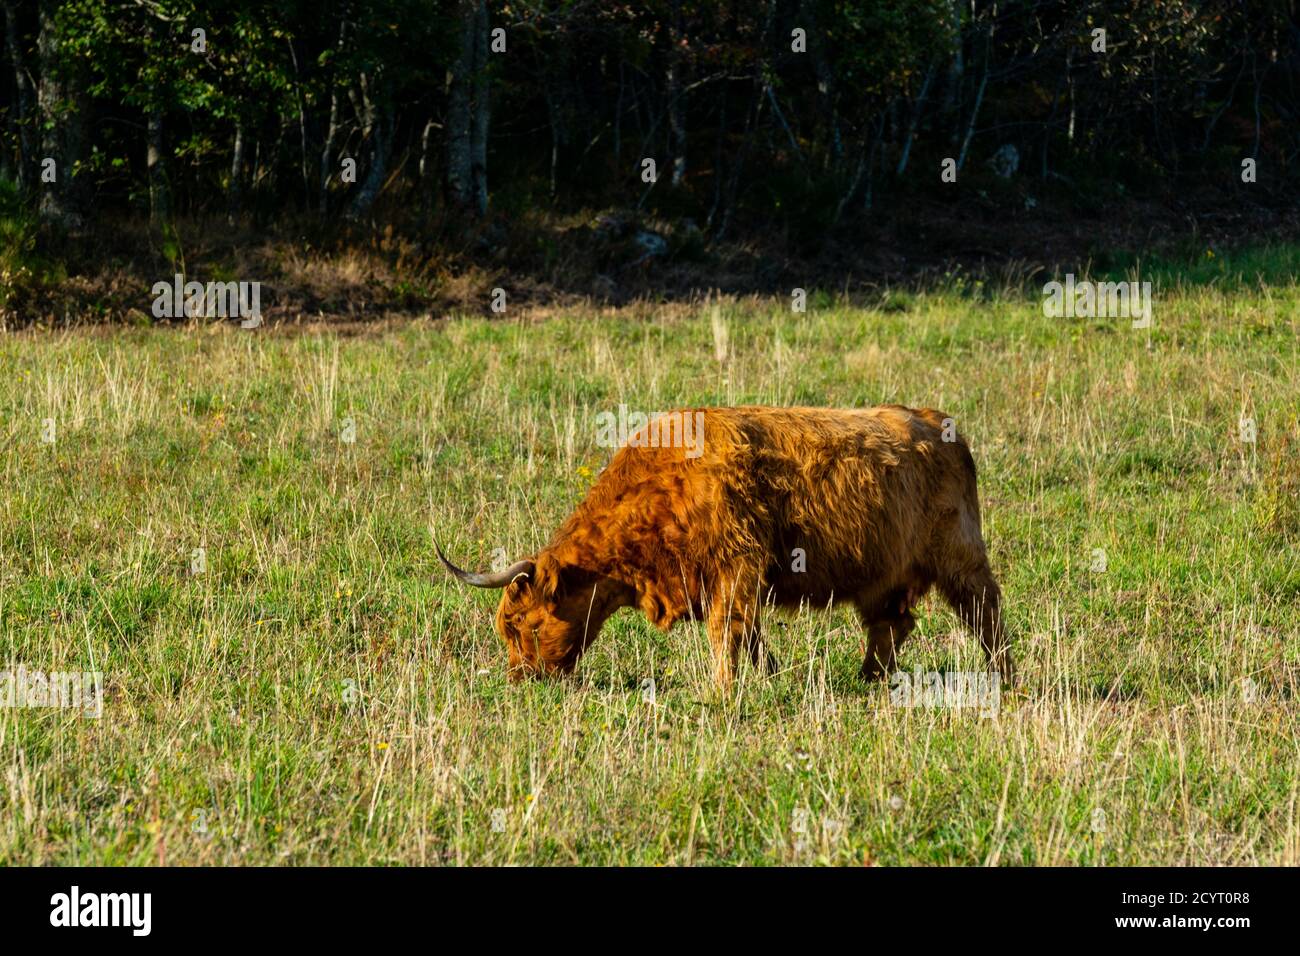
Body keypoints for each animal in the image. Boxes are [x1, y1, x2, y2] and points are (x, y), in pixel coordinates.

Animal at [438, 405, 1011, 691]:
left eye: (522, 623)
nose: (521, 679)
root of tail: (936, 422)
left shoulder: (736, 566)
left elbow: (726, 633)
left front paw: (721, 691)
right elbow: (750, 636)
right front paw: (769, 677)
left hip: (960, 555)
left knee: (984, 613)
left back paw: (1006, 678)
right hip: (881, 574)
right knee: (892, 625)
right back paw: (869, 681)